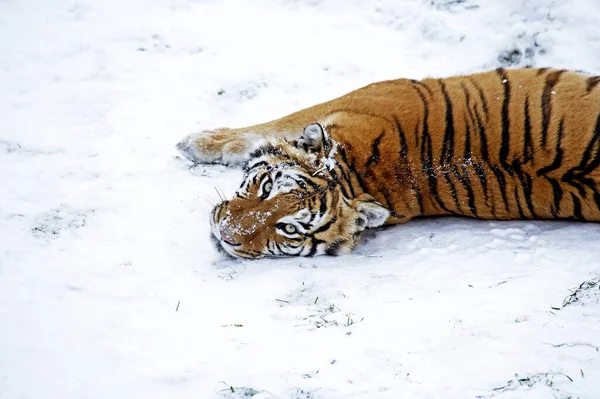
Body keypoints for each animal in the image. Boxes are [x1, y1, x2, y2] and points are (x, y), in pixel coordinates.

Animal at [178, 67, 600, 260]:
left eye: (290, 229)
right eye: (265, 189)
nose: (225, 235)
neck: (364, 172)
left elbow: (269, 126)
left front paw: (195, 141)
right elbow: (271, 126)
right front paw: (197, 141)